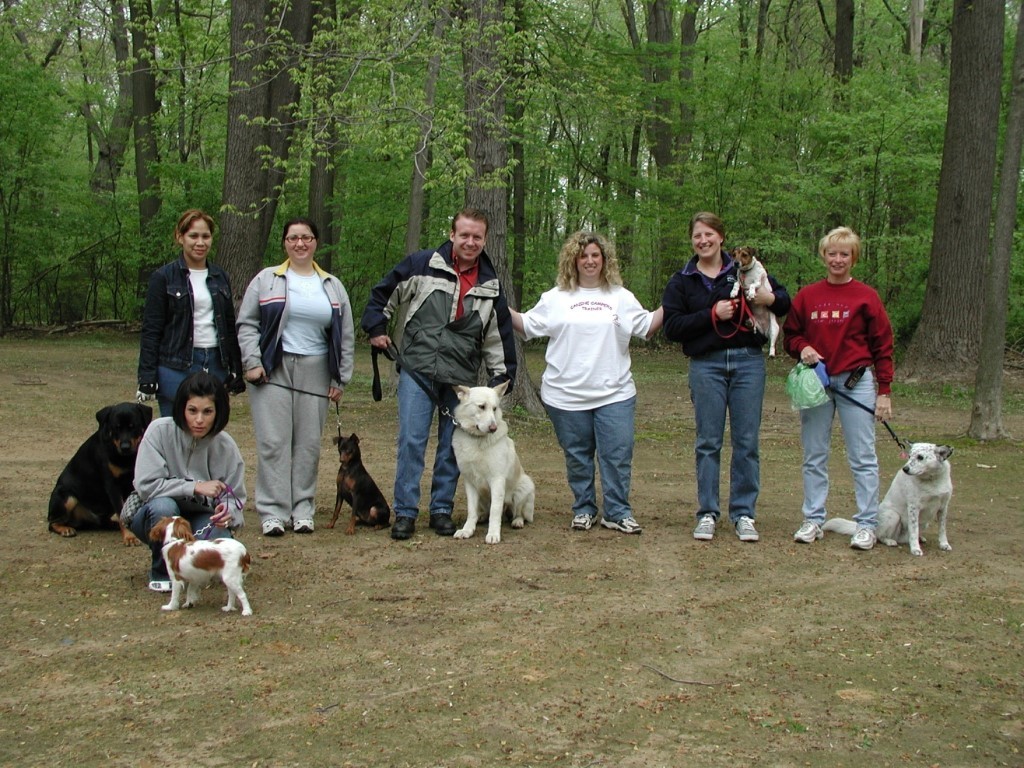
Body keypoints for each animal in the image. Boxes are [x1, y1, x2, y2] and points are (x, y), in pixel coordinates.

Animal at [450, 382, 536, 544]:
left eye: (494, 408)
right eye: (481, 406)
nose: (493, 428)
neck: (477, 439)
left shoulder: (497, 480)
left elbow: (495, 512)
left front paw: (493, 534)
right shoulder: (470, 482)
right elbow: (471, 511)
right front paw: (467, 530)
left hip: (524, 488)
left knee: (518, 512)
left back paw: (517, 521)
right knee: (485, 512)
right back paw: (481, 517)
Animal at [819, 444, 954, 561]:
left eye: (920, 457)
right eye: (909, 456)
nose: (905, 469)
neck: (932, 480)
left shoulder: (944, 508)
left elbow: (942, 530)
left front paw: (944, 544)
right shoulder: (913, 508)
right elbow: (914, 531)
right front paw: (915, 549)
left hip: (924, 523)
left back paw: (920, 538)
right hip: (893, 516)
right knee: (881, 536)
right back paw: (890, 541)